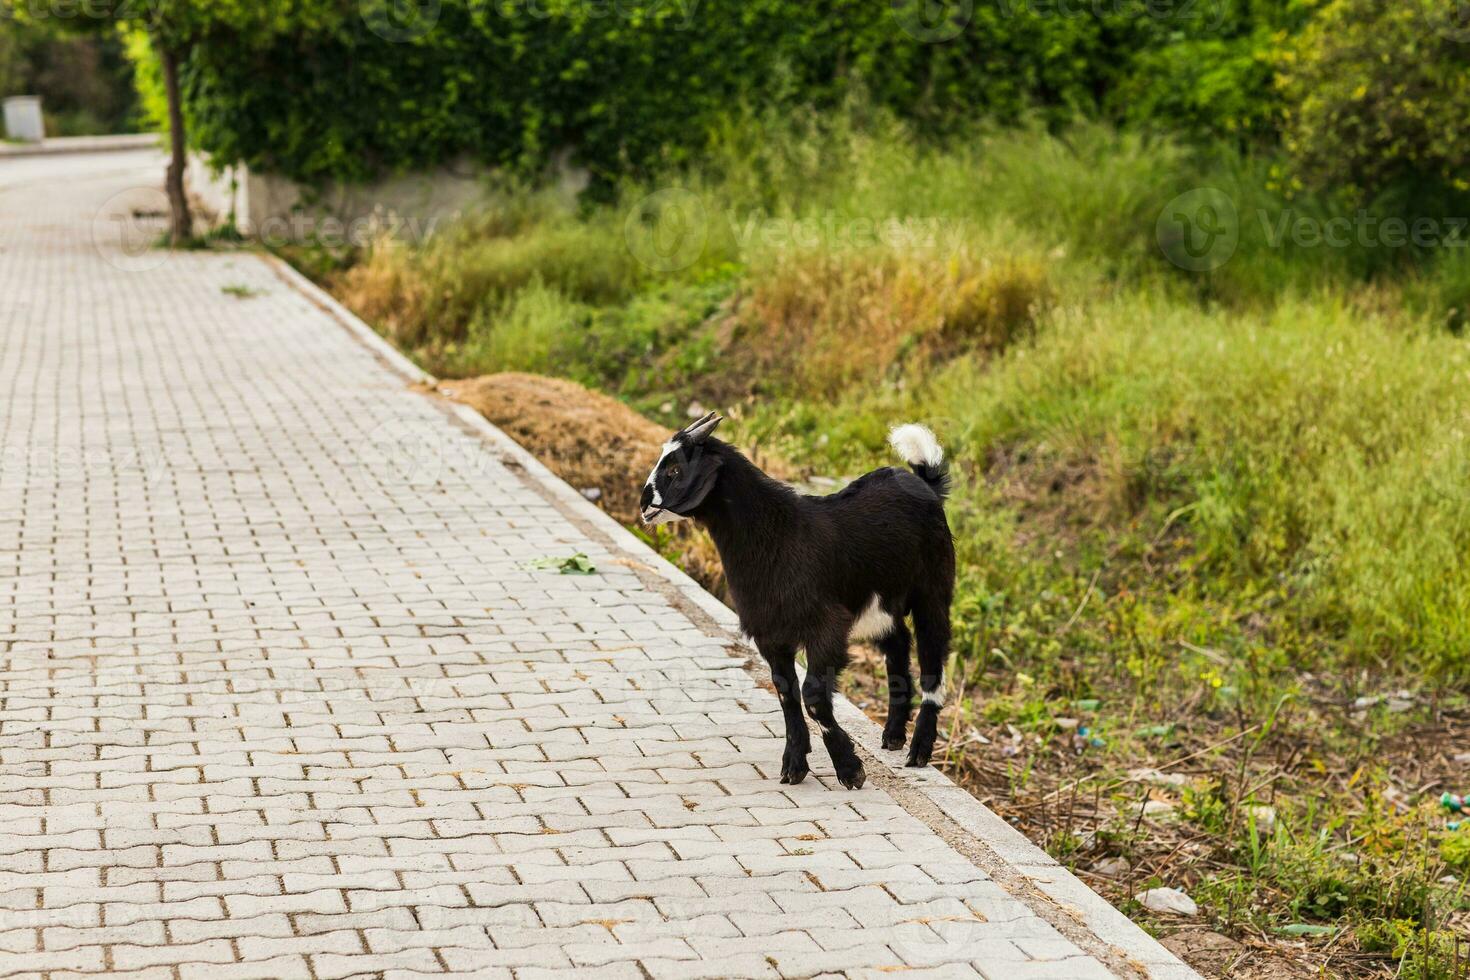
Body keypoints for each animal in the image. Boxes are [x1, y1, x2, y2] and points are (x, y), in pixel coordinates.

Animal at [640, 414, 958, 787]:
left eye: (675, 469)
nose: (644, 504)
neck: (778, 534)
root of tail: (924, 484)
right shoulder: (770, 633)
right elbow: (785, 693)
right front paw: (794, 764)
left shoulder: (826, 627)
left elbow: (814, 696)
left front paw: (850, 769)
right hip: (880, 605)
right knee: (898, 645)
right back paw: (893, 734)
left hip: (933, 590)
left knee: (933, 658)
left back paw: (919, 750)